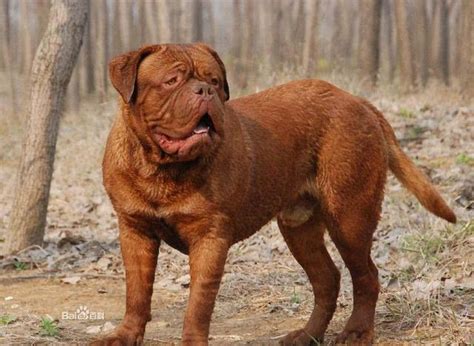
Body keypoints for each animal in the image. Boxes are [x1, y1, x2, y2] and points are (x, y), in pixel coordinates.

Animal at [95, 44, 456, 346]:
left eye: (215, 81)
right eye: (171, 81)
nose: (205, 90)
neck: (161, 170)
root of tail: (357, 100)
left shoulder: (210, 237)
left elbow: (198, 302)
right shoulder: (134, 230)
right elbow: (136, 292)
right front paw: (124, 336)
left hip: (349, 216)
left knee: (366, 275)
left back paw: (356, 333)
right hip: (299, 227)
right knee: (328, 279)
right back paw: (307, 335)